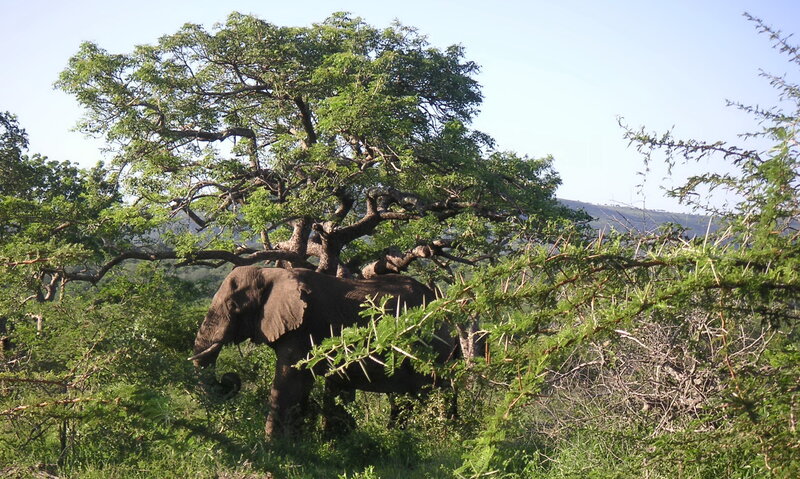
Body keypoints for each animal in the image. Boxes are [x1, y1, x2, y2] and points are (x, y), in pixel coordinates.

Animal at [190, 266, 458, 439]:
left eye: (234, 306)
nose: (229, 379)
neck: (271, 272)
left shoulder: (304, 327)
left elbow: (289, 379)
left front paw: (273, 448)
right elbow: (301, 384)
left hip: (434, 347)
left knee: (436, 393)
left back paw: (445, 440)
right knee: (405, 399)